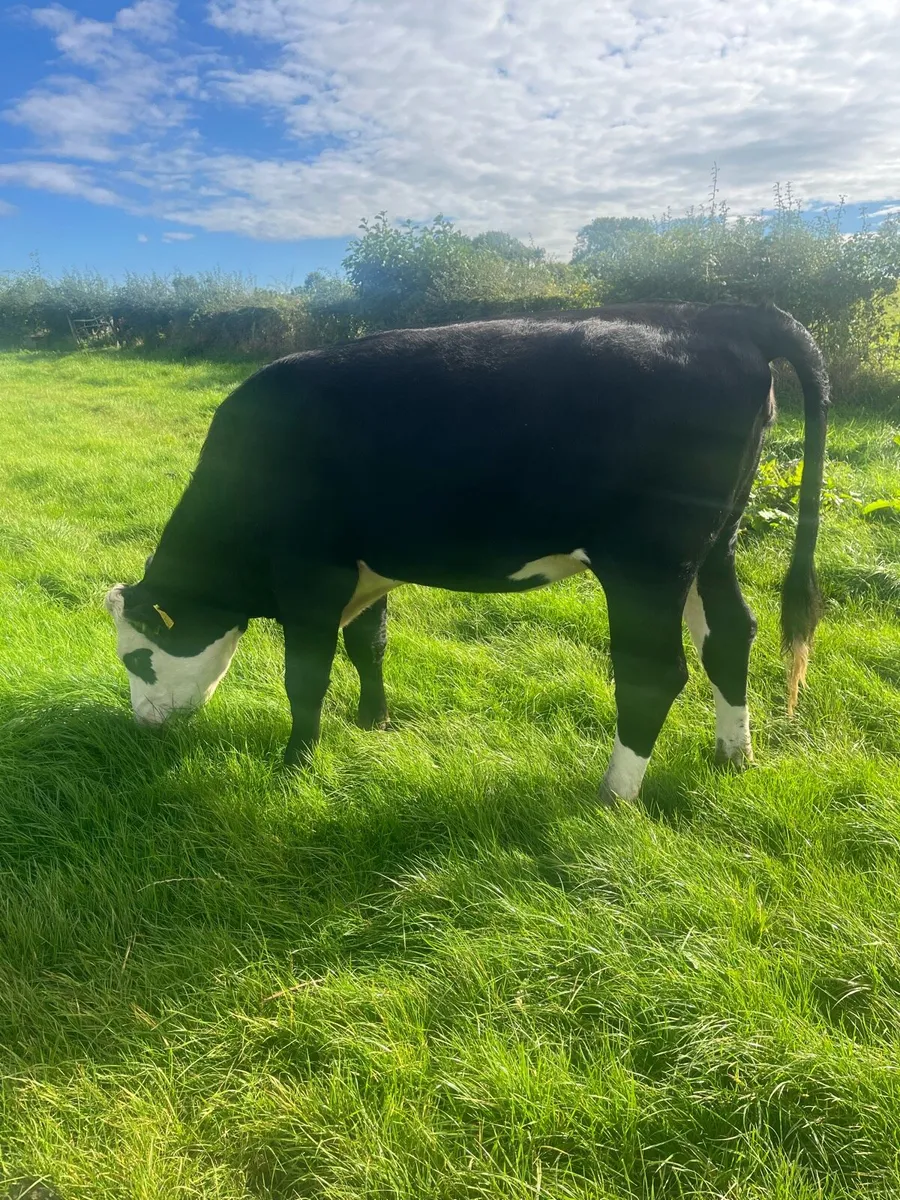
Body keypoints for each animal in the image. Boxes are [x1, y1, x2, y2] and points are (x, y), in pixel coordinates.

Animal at [104, 301, 828, 804]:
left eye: (137, 657)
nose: (142, 723)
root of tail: (716, 312)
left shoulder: (311, 571)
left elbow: (305, 676)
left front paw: (296, 763)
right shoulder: (369, 568)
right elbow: (369, 644)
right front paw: (373, 721)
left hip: (647, 562)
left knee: (654, 673)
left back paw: (615, 793)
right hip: (714, 546)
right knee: (730, 635)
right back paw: (733, 753)